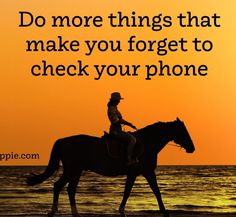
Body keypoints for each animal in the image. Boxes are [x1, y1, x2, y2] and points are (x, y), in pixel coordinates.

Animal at [26, 118, 195, 216]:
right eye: (183, 131)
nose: (192, 148)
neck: (147, 142)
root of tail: (63, 140)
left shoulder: (143, 173)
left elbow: (151, 191)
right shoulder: (141, 172)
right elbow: (137, 192)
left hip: (75, 170)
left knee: (67, 188)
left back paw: (71, 212)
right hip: (73, 169)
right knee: (61, 186)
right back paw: (59, 211)